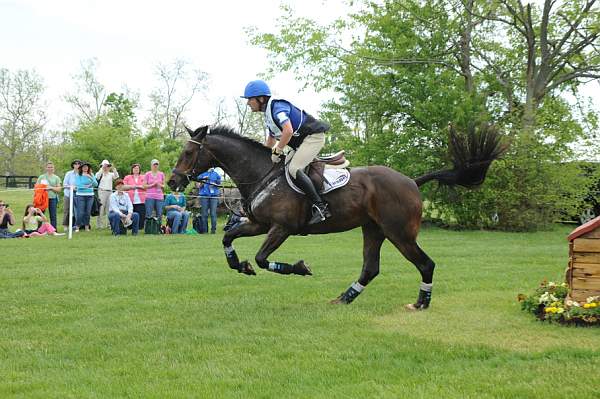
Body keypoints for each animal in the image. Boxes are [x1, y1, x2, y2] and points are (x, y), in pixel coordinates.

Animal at [169, 125, 506, 310]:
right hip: (373, 229)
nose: (173, 181)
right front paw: (240, 265)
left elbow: (264, 259)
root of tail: (411, 181)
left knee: (426, 264)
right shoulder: (258, 224)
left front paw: (300, 268)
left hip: (399, 233)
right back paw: (344, 298)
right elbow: (228, 237)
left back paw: (421, 303)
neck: (262, 174)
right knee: (371, 268)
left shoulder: (281, 228)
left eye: (188, 153)